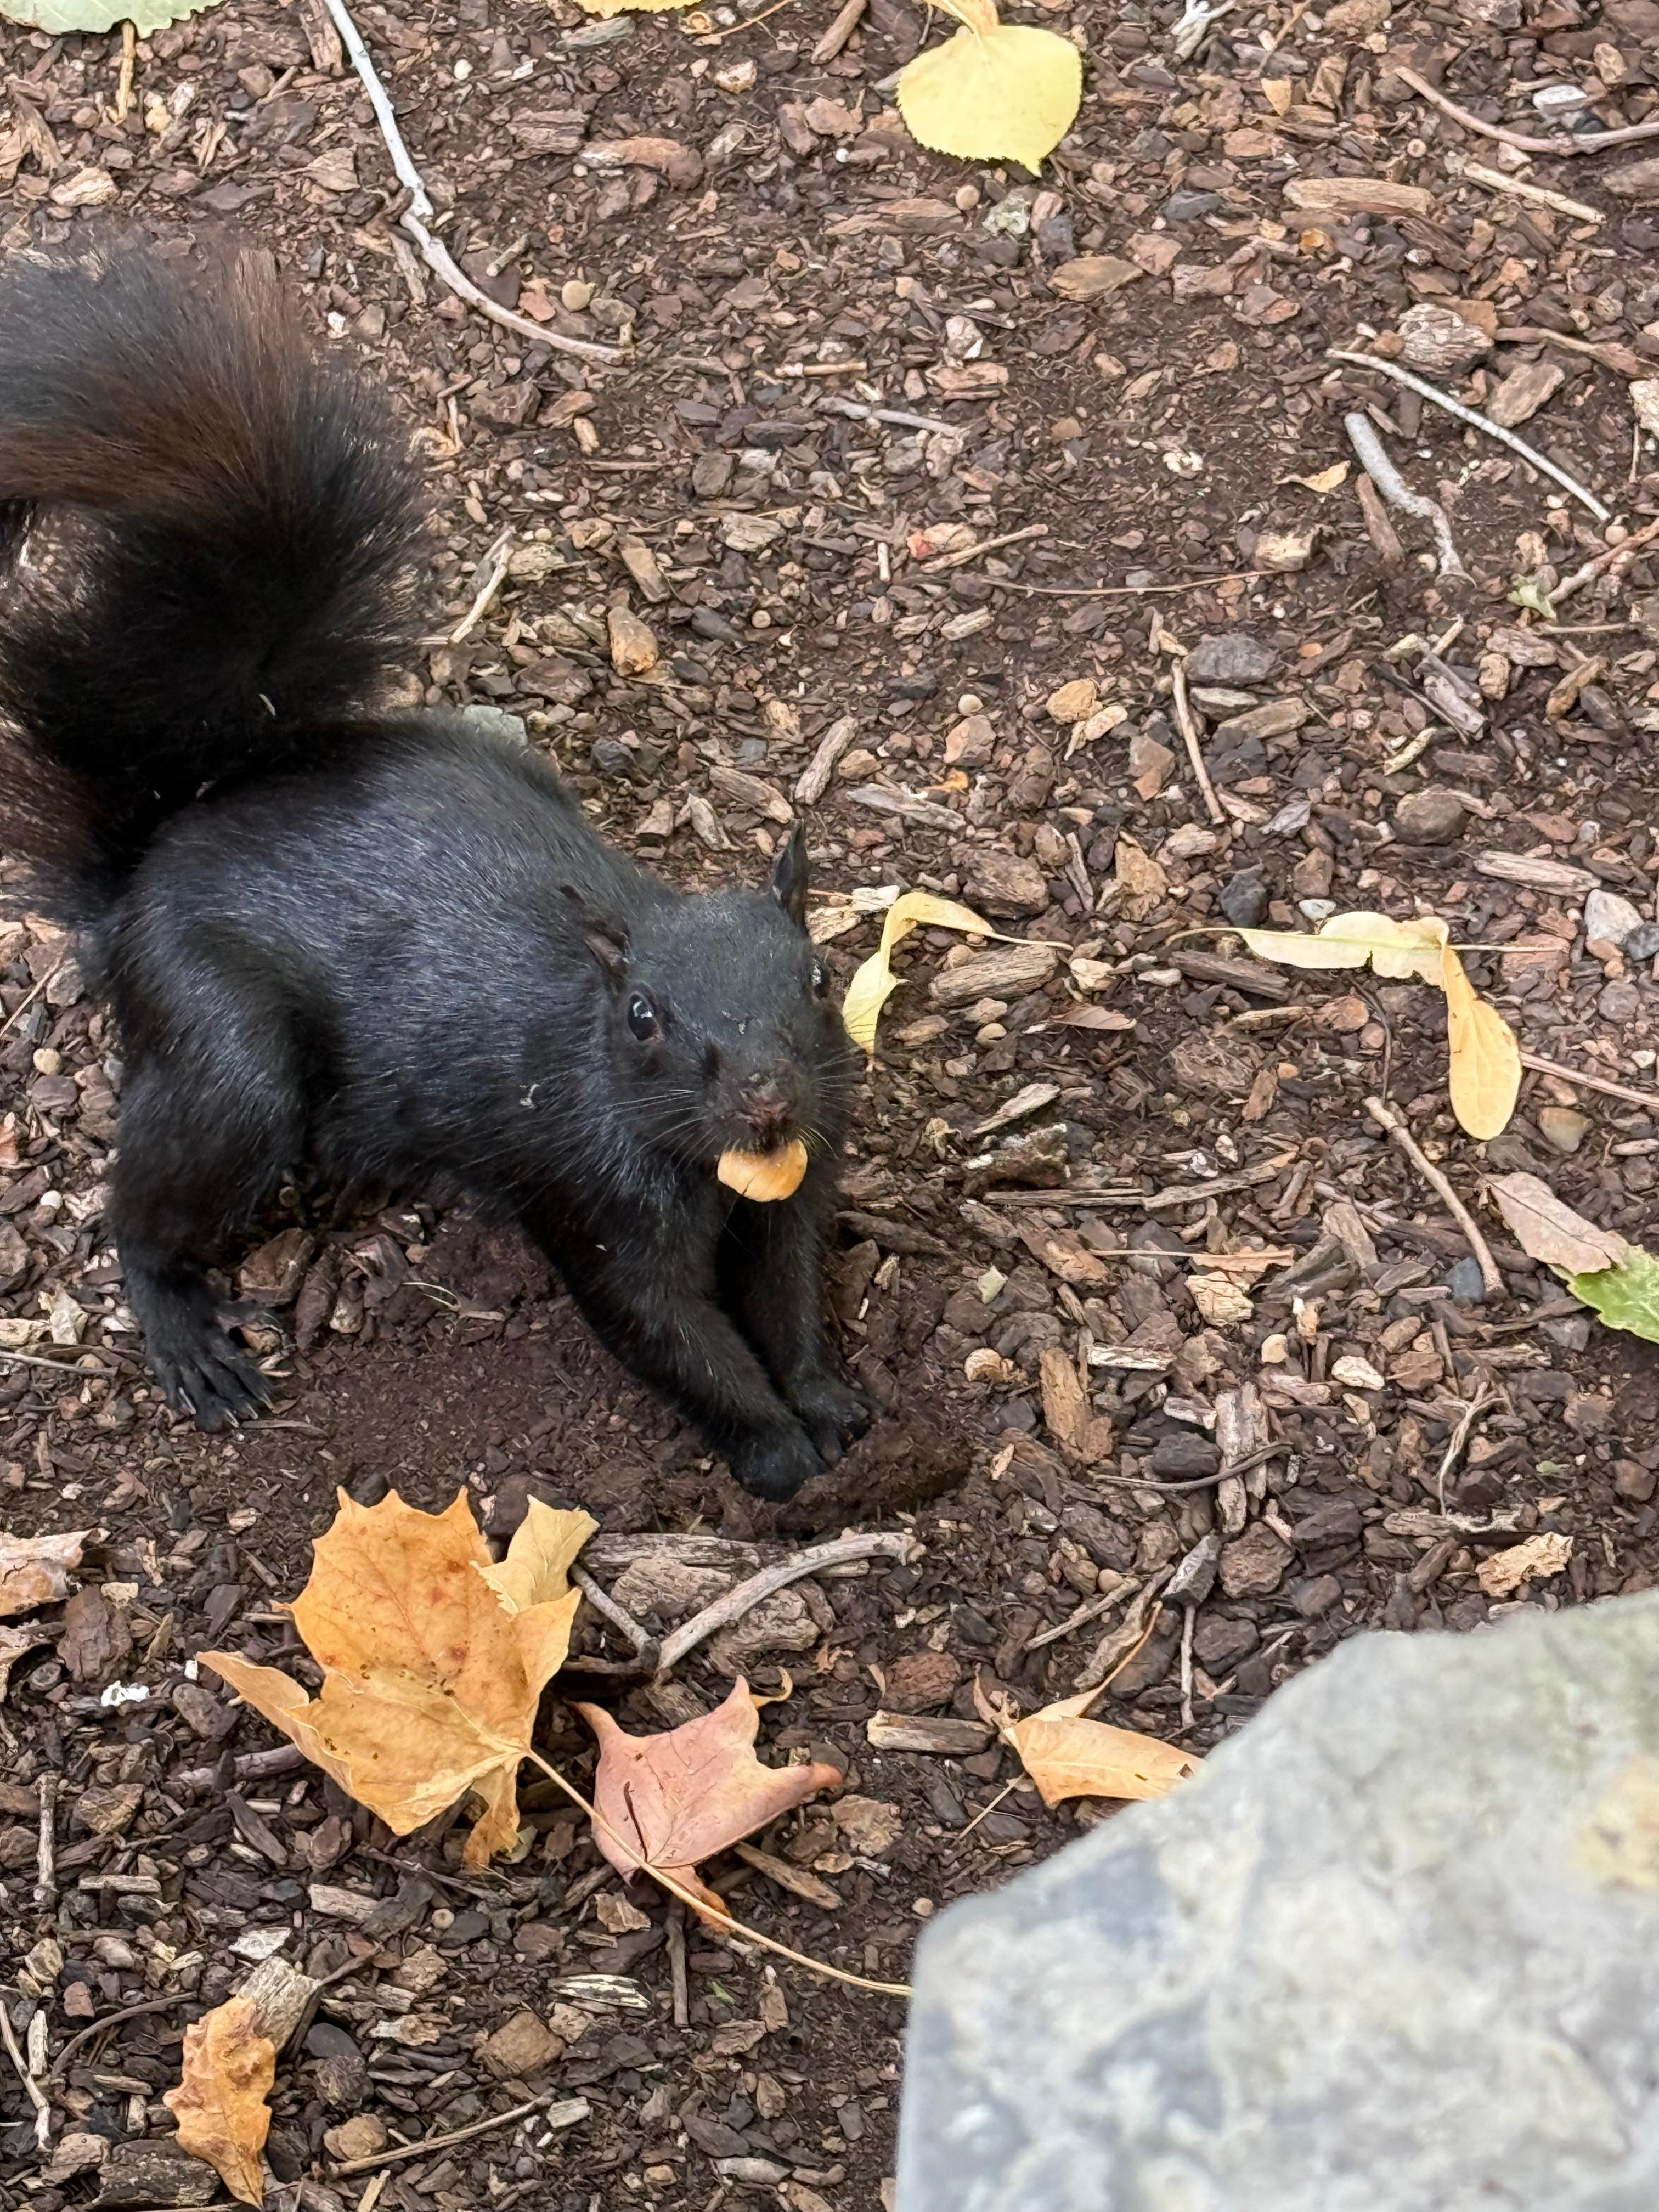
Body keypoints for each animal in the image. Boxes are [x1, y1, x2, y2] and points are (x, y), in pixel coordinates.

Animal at [0, 245, 871, 1502]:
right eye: (644, 1018)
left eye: (816, 979)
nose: (764, 1096)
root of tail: (146, 867)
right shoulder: (587, 1193)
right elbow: (670, 1333)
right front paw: (775, 1452)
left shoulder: (799, 1178)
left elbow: (788, 1291)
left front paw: (825, 1404)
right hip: (224, 1050)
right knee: (150, 1208)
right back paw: (185, 1330)